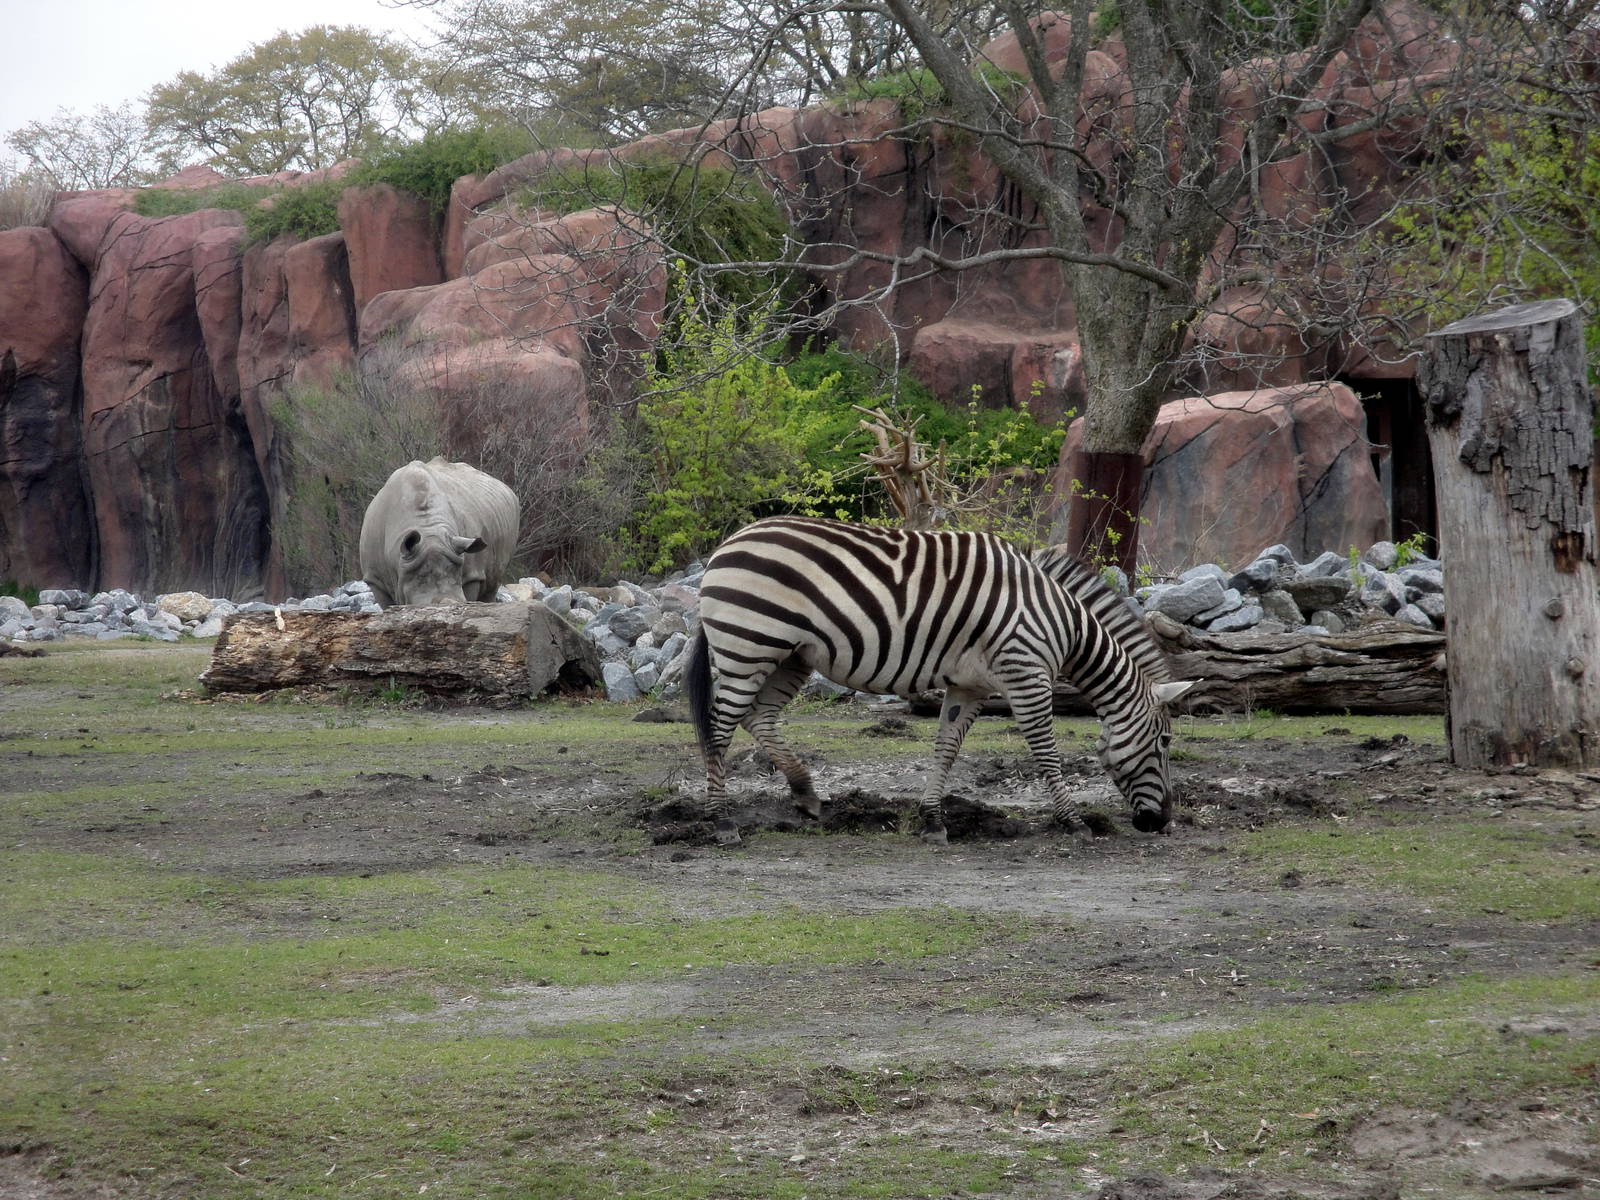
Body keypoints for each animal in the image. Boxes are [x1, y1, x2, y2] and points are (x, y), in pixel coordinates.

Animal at [684, 515, 1196, 846]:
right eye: (1165, 742)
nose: (1163, 822)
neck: (1062, 624)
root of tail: (726, 545)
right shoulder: (1026, 675)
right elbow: (1047, 753)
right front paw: (1073, 823)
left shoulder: (972, 685)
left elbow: (947, 748)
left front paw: (933, 821)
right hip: (750, 643)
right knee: (722, 724)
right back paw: (721, 822)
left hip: (788, 655)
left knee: (758, 717)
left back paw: (805, 794)